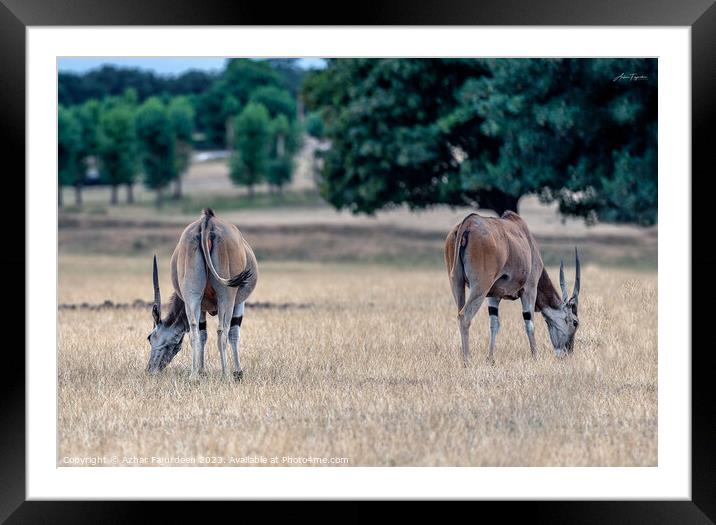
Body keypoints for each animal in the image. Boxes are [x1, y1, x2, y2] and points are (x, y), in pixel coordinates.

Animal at [145, 207, 258, 378]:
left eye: (150, 338)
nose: (150, 369)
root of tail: (207, 222)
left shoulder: (203, 306)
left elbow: (202, 334)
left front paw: (202, 370)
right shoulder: (238, 303)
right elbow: (232, 333)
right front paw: (238, 373)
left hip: (193, 295)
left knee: (194, 330)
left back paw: (194, 376)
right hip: (226, 297)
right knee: (222, 330)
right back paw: (225, 374)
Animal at [444, 211, 580, 366]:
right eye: (575, 322)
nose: (568, 352)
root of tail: (468, 222)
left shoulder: (494, 296)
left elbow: (494, 324)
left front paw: (490, 359)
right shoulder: (529, 289)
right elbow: (529, 323)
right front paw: (535, 357)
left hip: (457, 283)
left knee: (459, 312)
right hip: (480, 286)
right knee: (464, 316)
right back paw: (467, 361)